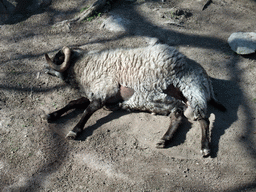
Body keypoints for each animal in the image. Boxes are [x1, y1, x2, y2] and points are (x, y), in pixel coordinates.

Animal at [44, 42, 226, 157]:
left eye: (58, 57)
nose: (45, 67)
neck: (82, 66)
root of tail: (205, 76)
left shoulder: (106, 87)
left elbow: (90, 108)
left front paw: (75, 130)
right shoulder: (96, 92)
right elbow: (74, 103)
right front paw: (52, 115)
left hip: (193, 90)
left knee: (204, 120)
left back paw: (205, 147)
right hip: (164, 101)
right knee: (178, 116)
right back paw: (164, 139)